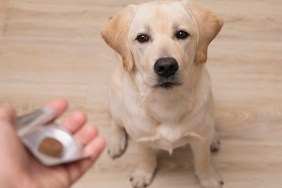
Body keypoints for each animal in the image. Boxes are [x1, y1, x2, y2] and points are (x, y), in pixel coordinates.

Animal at [101, 0, 223, 187]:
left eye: (182, 34)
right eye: (142, 37)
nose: (166, 66)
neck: (168, 102)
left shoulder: (200, 141)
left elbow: (203, 160)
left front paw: (208, 178)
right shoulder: (142, 139)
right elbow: (146, 158)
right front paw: (143, 173)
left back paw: (214, 137)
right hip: (115, 101)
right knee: (116, 120)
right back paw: (115, 141)